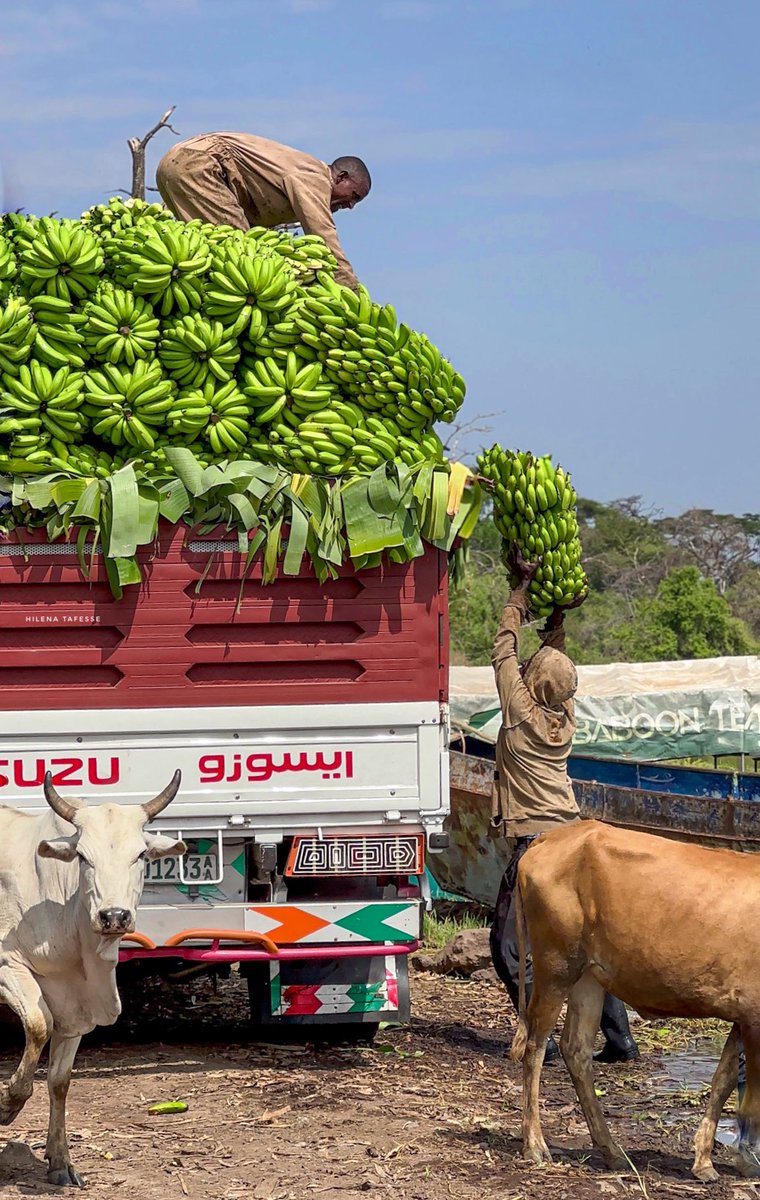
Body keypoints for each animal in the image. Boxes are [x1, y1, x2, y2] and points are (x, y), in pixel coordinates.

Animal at [0, 772, 184, 1185]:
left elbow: (60, 1081)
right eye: (83, 857)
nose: (113, 916)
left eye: (141, 855)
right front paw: (7, 1104)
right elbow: (39, 1025)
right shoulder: (7, 967)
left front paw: (60, 1161)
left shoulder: (74, 1004)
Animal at [509, 816, 753, 1180]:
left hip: (588, 975)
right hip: (556, 964)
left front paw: (706, 1161)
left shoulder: (743, 1013)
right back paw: (536, 1145)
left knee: (576, 1048)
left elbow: (724, 1079)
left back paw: (611, 1151)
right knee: (536, 1046)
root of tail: (552, 837)